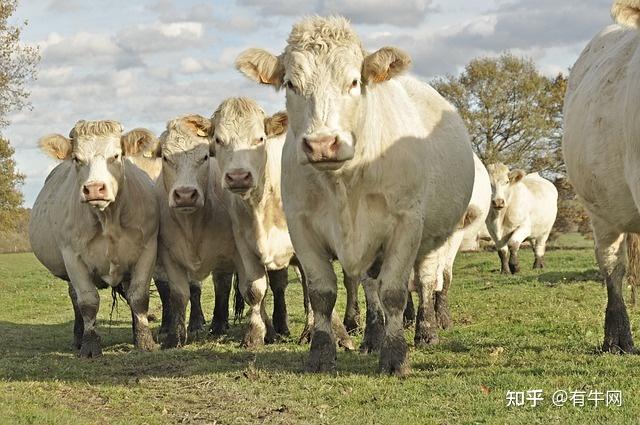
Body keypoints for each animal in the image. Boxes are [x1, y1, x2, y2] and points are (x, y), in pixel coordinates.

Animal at [29, 121, 160, 356]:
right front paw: (90, 345)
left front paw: (144, 341)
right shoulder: (72, 257)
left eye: (116, 155)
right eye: (76, 158)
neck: (108, 220)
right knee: (75, 297)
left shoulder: (148, 250)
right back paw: (78, 337)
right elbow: (88, 302)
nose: (94, 188)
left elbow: (138, 296)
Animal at [155, 114, 242, 346]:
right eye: (165, 157)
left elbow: (222, 287)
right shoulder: (170, 258)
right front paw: (174, 336)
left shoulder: (225, 256)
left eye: (204, 158)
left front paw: (218, 326)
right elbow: (178, 294)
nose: (185, 195)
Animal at [235, 16, 476, 374]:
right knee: (371, 285)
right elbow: (322, 293)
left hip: (434, 238)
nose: (322, 144)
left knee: (424, 281)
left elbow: (395, 292)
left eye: (353, 81)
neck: (344, 184)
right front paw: (322, 353)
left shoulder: (406, 225)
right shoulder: (302, 228)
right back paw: (373, 337)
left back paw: (425, 331)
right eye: (291, 84)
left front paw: (395, 356)